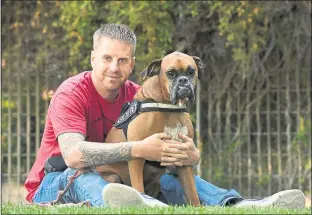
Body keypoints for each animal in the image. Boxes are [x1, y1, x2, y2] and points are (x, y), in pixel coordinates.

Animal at [95, 52, 202, 207]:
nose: (183, 80)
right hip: (113, 177)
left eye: (191, 71)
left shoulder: (184, 158)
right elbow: (139, 188)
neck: (169, 107)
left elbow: (192, 193)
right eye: (170, 73)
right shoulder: (137, 157)